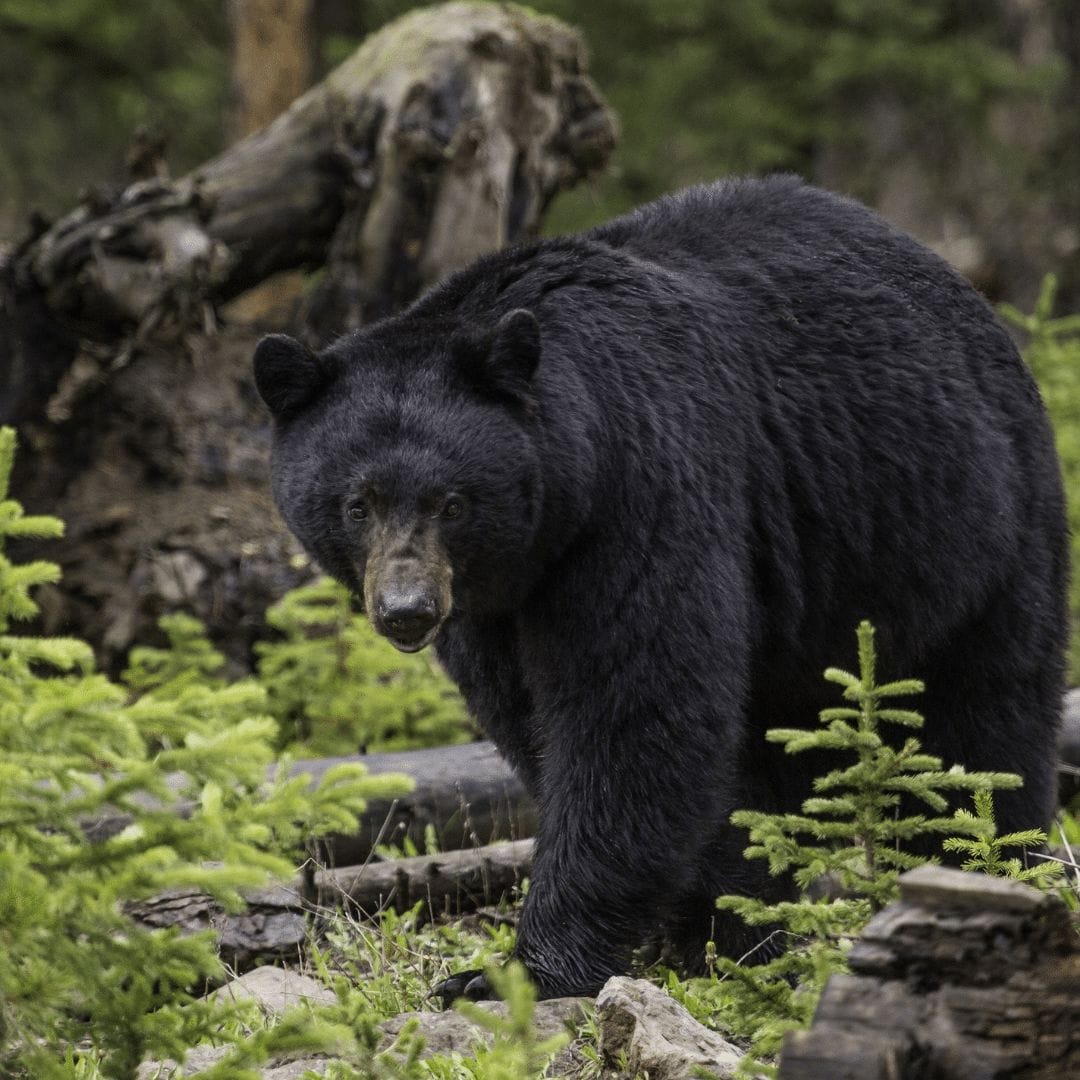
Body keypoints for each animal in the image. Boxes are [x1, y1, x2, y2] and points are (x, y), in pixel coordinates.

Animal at [254, 174, 1071, 993]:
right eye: (357, 503)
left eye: (451, 501)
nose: (406, 611)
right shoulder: (494, 604)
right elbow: (535, 718)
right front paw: (712, 926)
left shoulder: (644, 489)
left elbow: (635, 712)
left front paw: (521, 969)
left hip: (970, 527)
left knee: (984, 723)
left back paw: (982, 871)